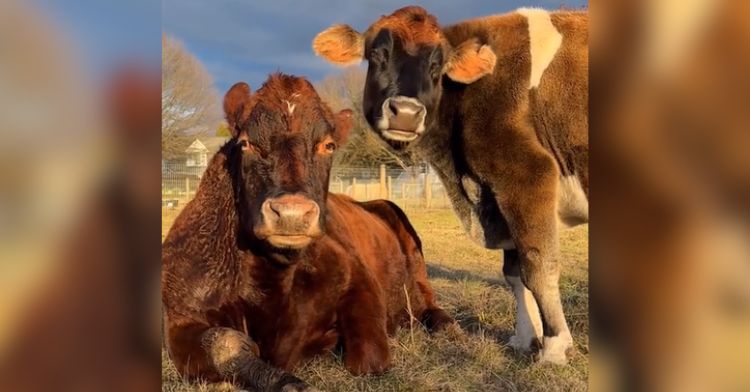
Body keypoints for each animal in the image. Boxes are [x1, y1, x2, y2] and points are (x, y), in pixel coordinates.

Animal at [314, 6, 592, 362]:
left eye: (438, 65)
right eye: (377, 54)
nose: (406, 112)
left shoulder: (528, 174)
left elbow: (538, 266)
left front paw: (554, 346)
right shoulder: (495, 195)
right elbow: (514, 274)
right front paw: (523, 338)